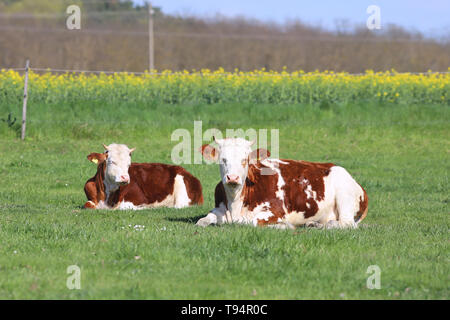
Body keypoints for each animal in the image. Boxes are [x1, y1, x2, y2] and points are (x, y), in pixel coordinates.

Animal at [197, 136, 370, 229]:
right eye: (223, 159)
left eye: (244, 159)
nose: (232, 178)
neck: (235, 204)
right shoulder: (219, 208)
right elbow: (202, 220)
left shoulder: (275, 211)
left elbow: (251, 221)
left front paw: (282, 225)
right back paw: (314, 224)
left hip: (345, 196)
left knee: (346, 224)